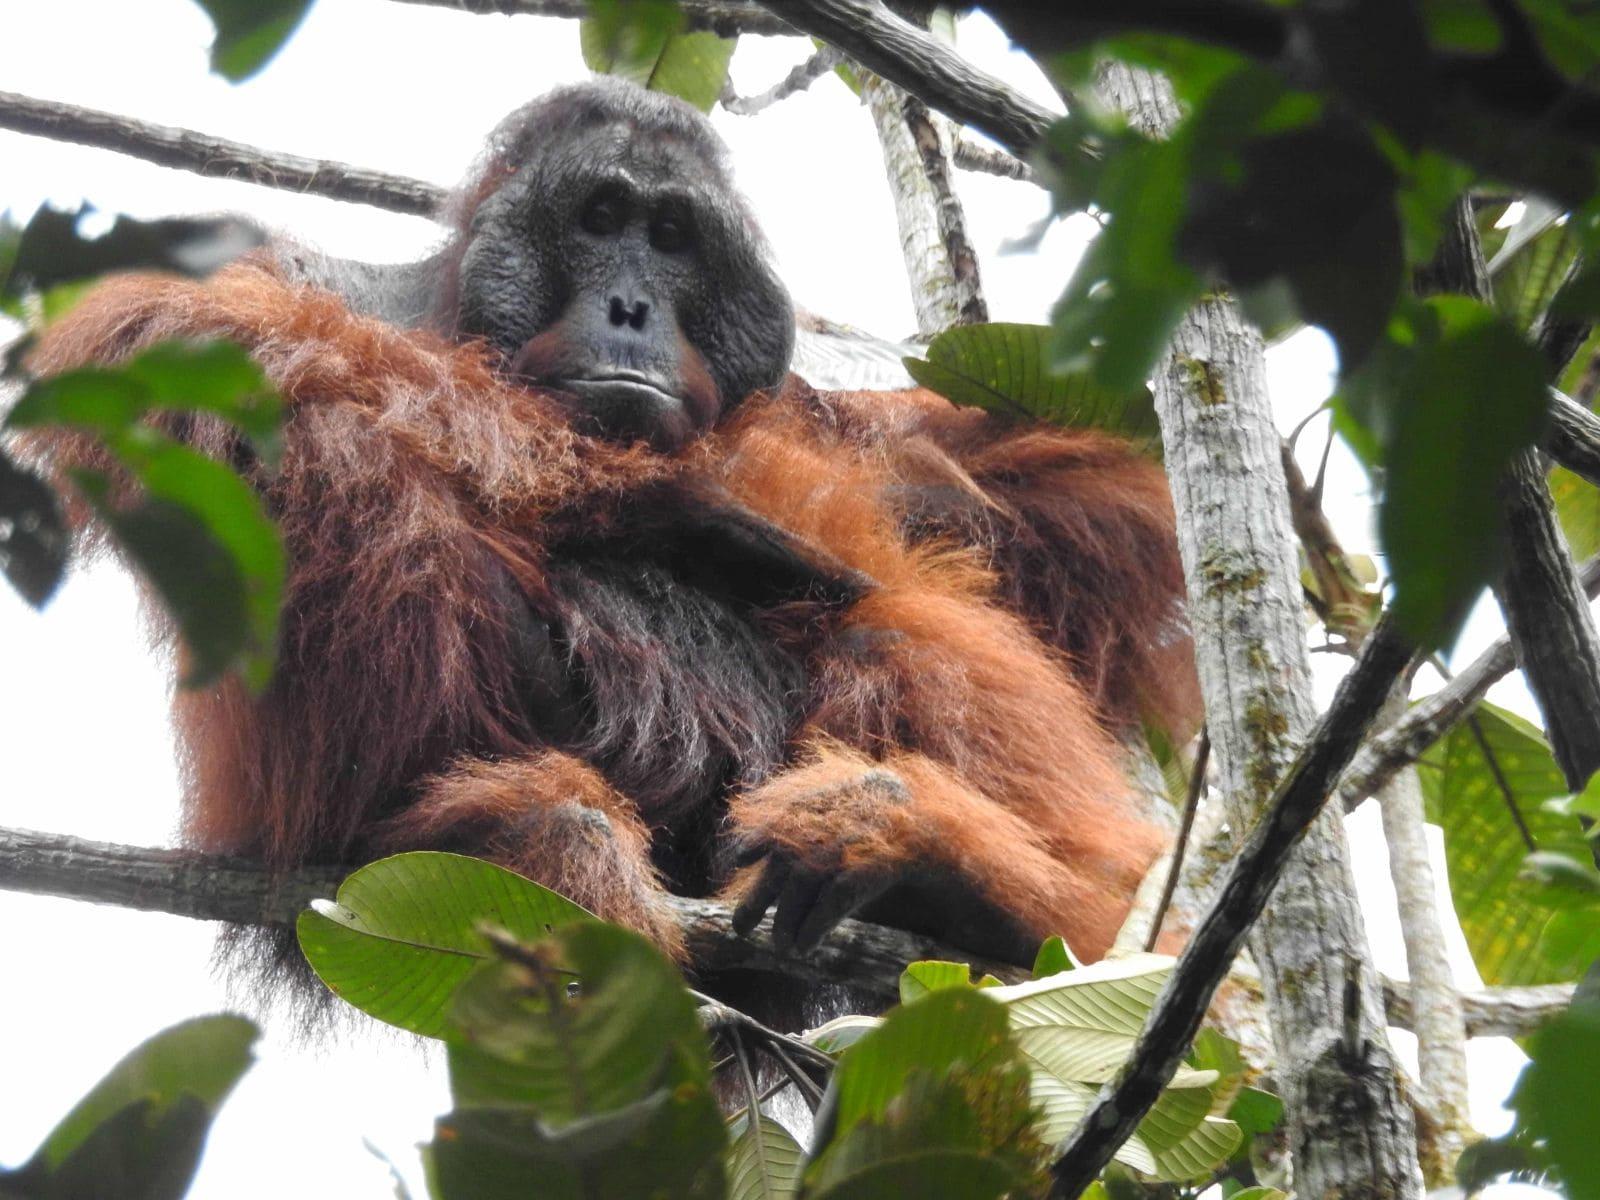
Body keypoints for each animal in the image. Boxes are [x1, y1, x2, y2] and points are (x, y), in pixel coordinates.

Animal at [20, 78, 1197, 1000]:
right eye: (596, 218)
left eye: (671, 238)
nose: (630, 306)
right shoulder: (306, 281)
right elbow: (188, 338)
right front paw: (658, 498)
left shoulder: (871, 434)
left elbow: (1097, 497)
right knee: (347, 473)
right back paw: (527, 836)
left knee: (889, 623)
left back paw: (938, 869)